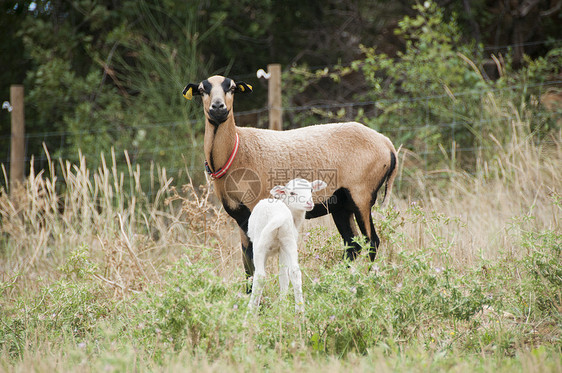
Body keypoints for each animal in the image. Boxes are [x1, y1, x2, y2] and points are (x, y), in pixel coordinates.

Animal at [246, 179, 328, 312]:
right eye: (292, 193)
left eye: (311, 190)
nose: (309, 203)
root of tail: (278, 216)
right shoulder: (283, 248)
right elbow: (284, 276)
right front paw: (283, 305)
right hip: (289, 239)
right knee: (295, 272)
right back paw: (299, 310)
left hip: (260, 244)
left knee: (260, 276)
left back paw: (250, 312)